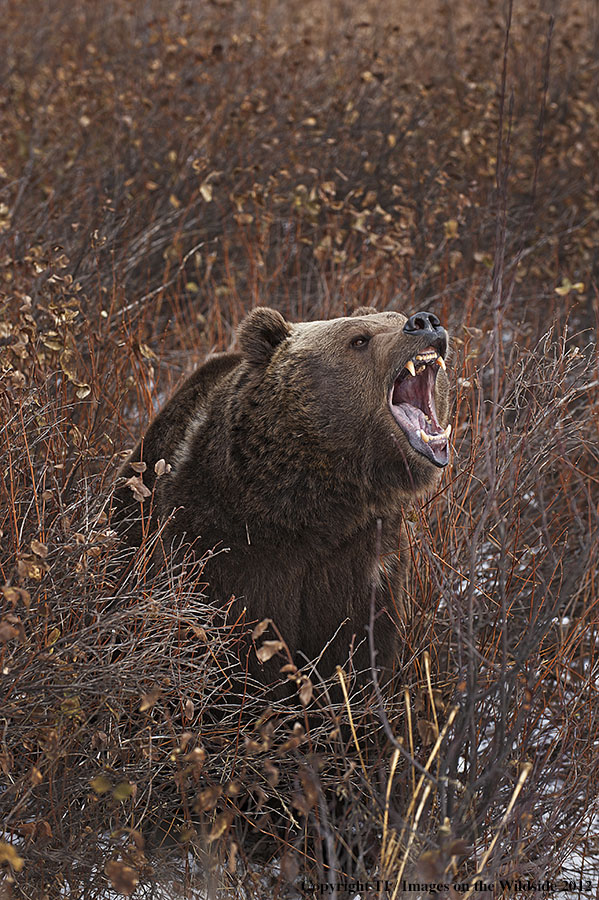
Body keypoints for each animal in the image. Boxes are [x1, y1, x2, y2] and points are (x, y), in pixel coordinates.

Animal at [113, 306, 450, 684]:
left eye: (393, 316)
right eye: (359, 339)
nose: (424, 321)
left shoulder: (367, 562)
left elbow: (357, 655)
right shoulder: (220, 550)